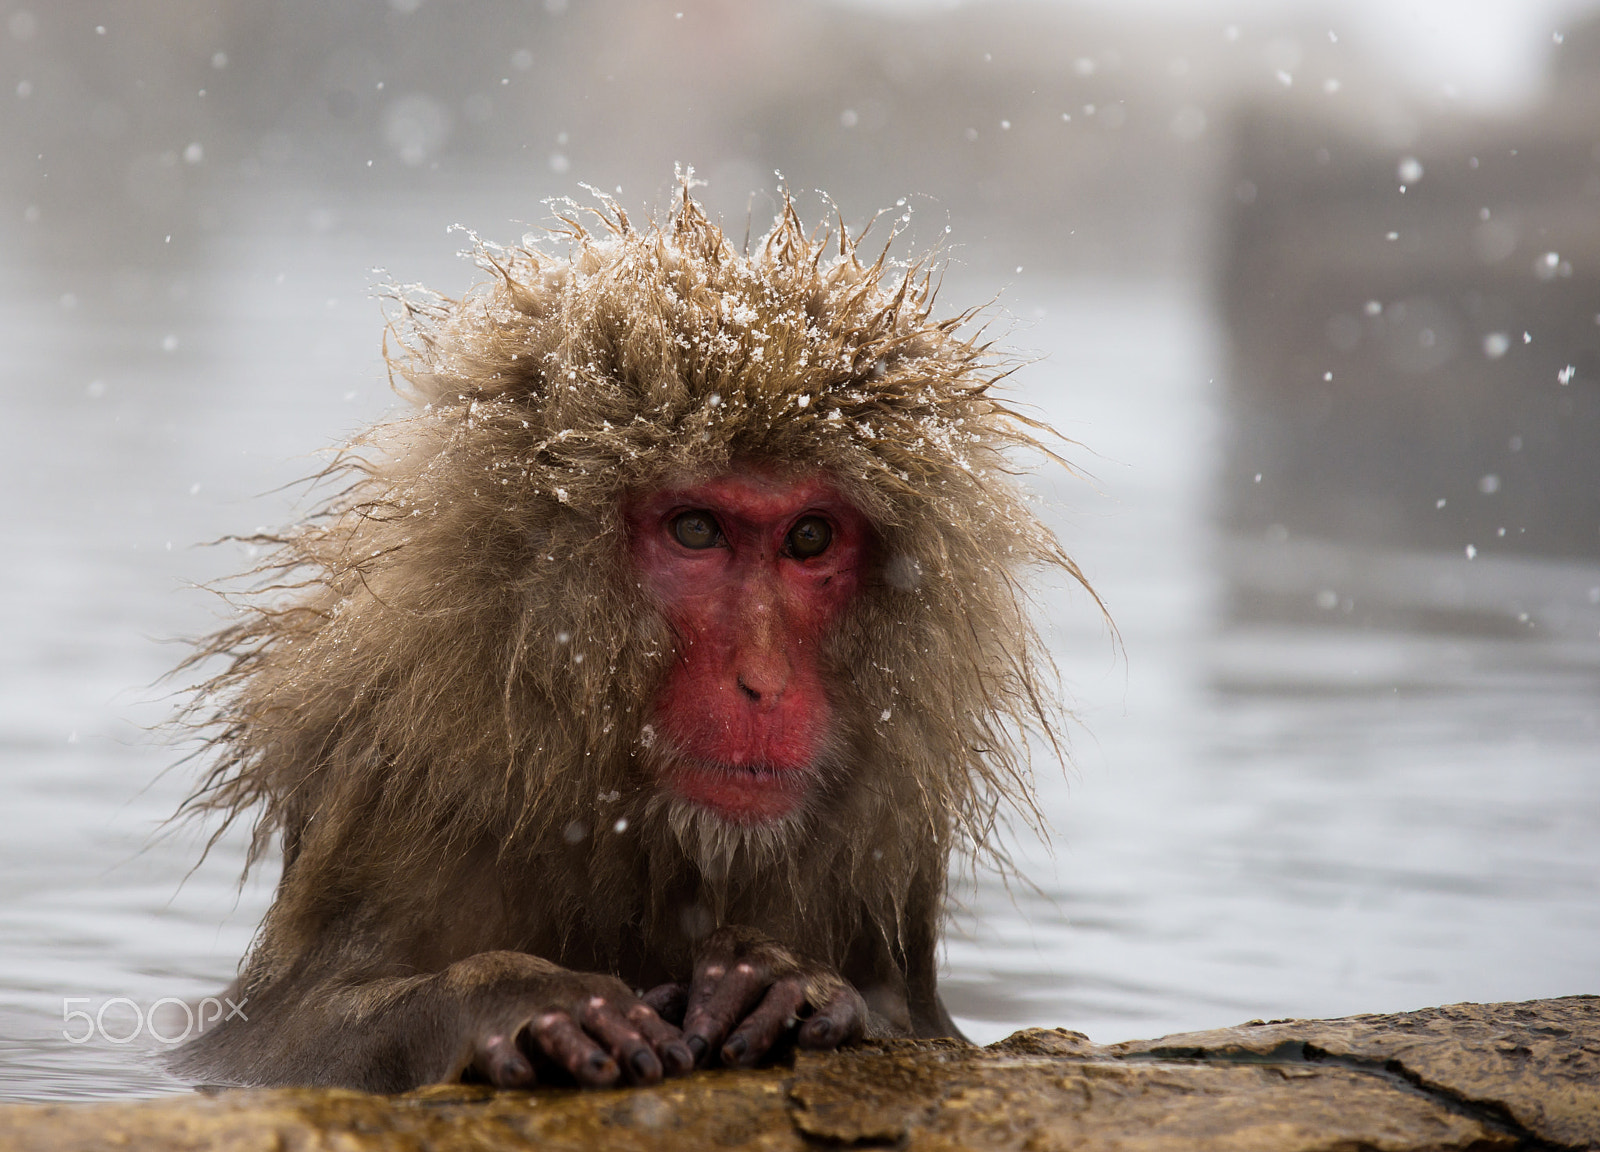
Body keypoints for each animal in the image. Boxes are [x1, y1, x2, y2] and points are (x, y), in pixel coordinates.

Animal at [168, 183, 1087, 1093]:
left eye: (810, 538)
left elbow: (923, 1027)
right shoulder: (400, 776)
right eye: (696, 530)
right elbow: (265, 1044)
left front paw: (784, 982)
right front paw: (515, 996)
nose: (763, 682)